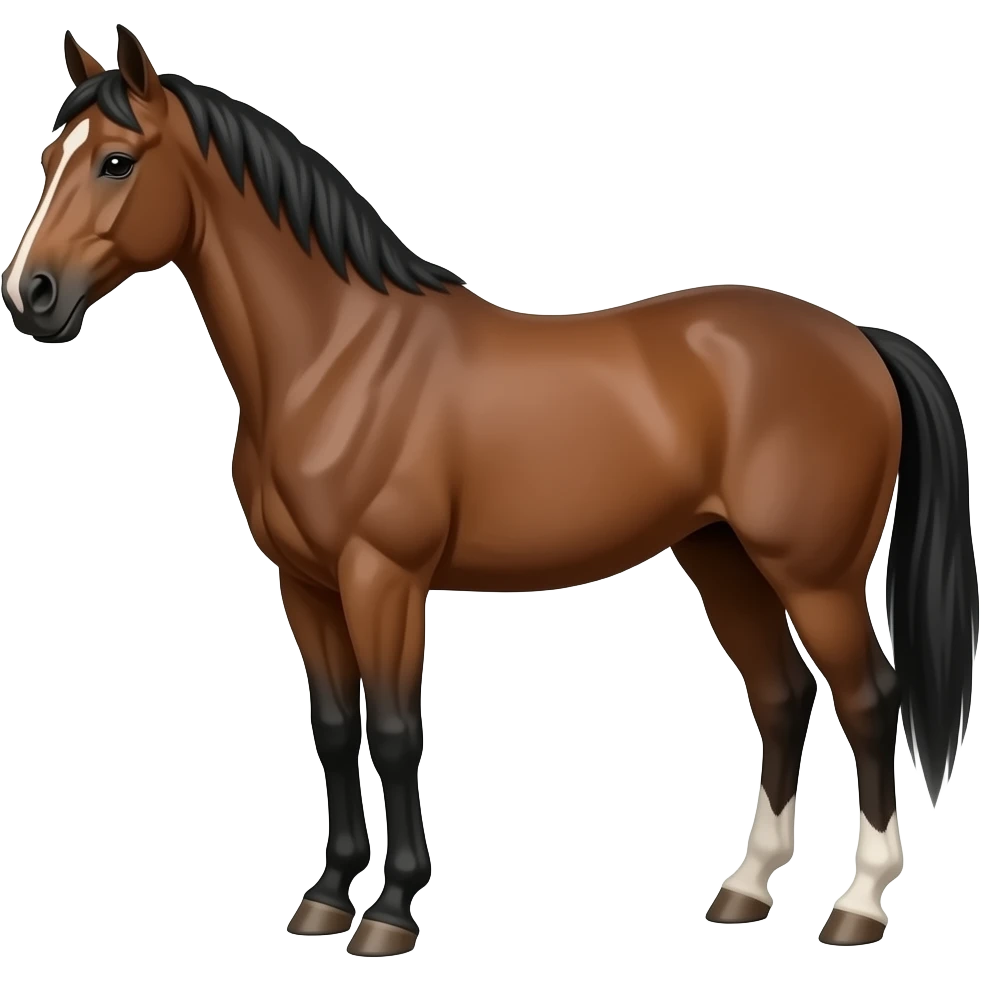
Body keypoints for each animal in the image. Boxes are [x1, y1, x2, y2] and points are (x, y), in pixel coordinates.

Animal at [3, 24, 977, 955]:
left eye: (116, 160)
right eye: (48, 159)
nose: (30, 295)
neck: (336, 358)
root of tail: (857, 339)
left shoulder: (383, 578)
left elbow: (396, 732)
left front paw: (390, 911)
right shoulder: (305, 583)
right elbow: (334, 728)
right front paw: (325, 897)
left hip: (814, 576)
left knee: (867, 699)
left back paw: (857, 904)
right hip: (722, 557)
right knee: (780, 696)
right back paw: (745, 888)